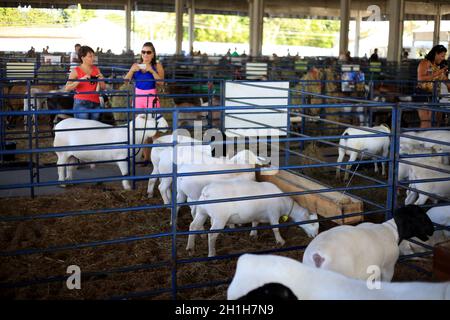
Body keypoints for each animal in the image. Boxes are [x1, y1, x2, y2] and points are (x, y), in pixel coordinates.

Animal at [185, 180, 318, 258]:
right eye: (312, 224)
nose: (315, 236)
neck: (284, 202)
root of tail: (206, 192)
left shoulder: (257, 214)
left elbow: (255, 223)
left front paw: (253, 235)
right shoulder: (273, 213)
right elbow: (275, 228)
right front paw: (280, 241)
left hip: (202, 212)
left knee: (193, 226)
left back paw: (190, 248)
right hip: (219, 218)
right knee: (212, 235)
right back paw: (212, 254)